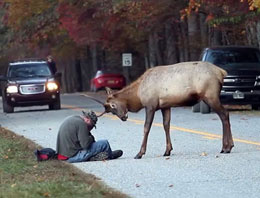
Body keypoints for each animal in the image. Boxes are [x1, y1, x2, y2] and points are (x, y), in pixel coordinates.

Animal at [88, 62, 235, 159]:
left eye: (113, 106)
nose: (123, 117)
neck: (138, 95)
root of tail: (221, 72)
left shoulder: (151, 105)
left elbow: (146, 127)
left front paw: (140, 153)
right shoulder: (165, 106)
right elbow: (166, 125)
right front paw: (167, 150)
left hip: (210, 95)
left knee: (224, 114)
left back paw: (226, 147)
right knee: (225, 114)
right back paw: (228, 146)